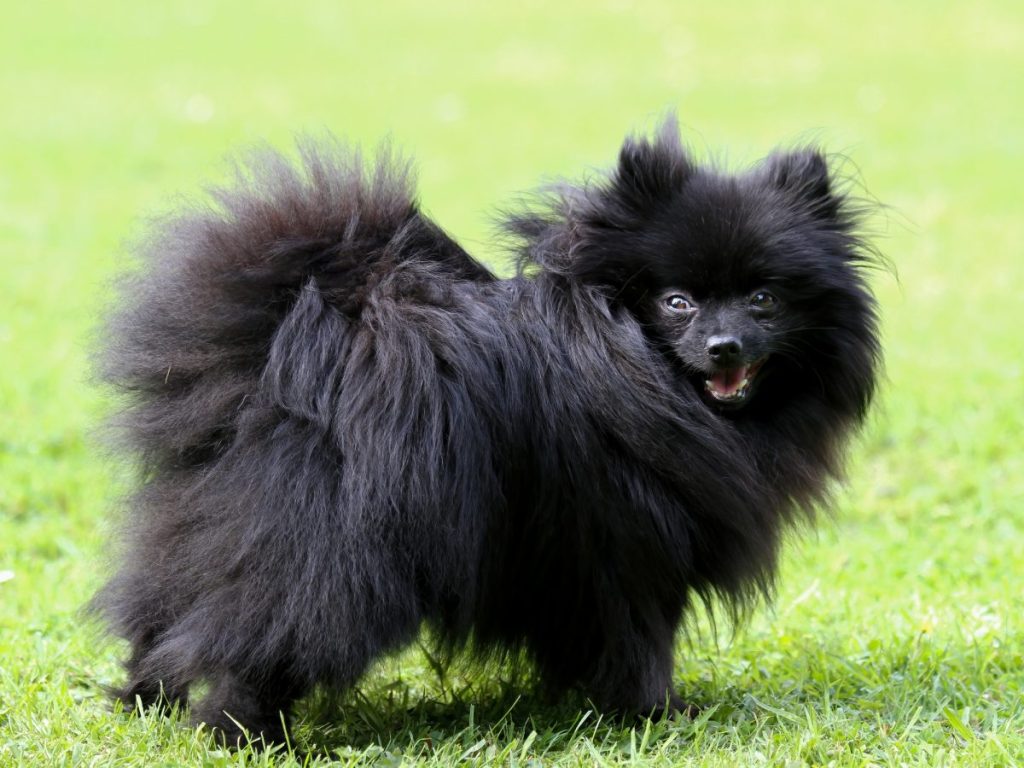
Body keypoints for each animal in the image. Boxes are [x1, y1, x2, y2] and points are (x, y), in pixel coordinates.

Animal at [94, 118, 880, 745]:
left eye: (764, 300)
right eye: (677, 302)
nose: (724, 346)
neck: (635, 367)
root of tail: (284, 344)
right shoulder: (627, 550)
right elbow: (641, 642)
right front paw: (659, 713)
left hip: (203, 521)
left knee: (162, 616)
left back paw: (144, 701)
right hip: (331, 549)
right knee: (264, 636)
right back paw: (241, 731)